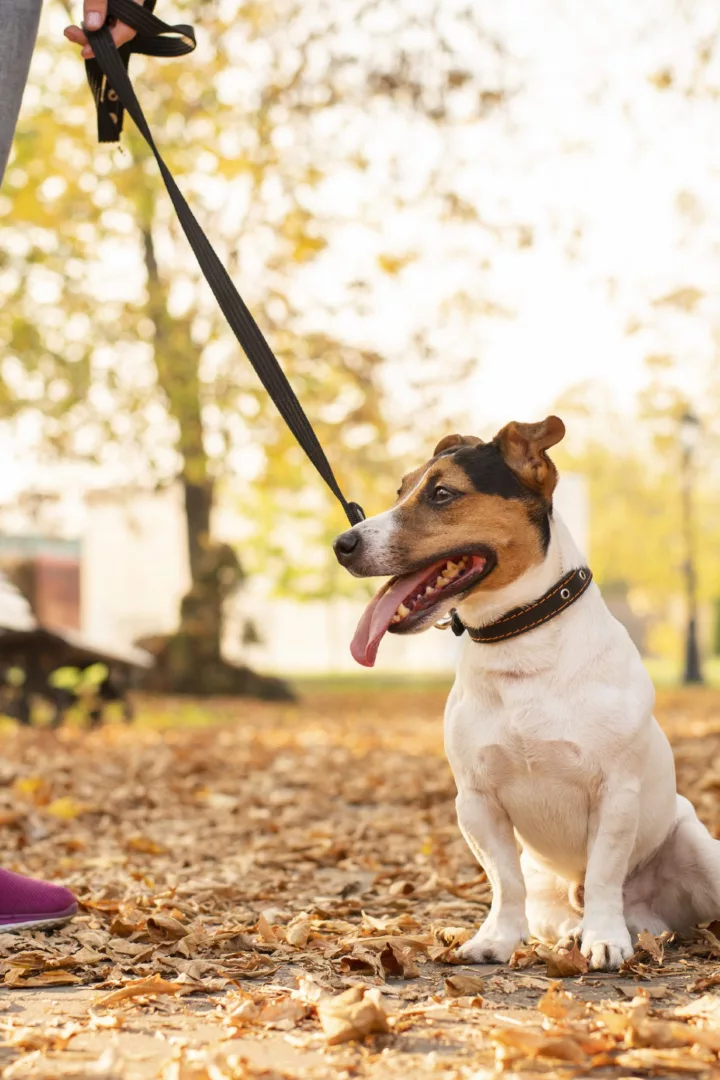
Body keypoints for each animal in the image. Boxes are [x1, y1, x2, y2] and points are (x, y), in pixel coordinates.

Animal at [334, 414, 720, 972]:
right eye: (401, 491)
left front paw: (605, 938)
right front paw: (497, 938)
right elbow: (504, 880)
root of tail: (652, 920)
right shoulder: (476, 801)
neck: (519, 641)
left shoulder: (616, 793)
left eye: (443, 493)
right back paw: (573, 934)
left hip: (701, 852)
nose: (342, 544)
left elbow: (605, 873)